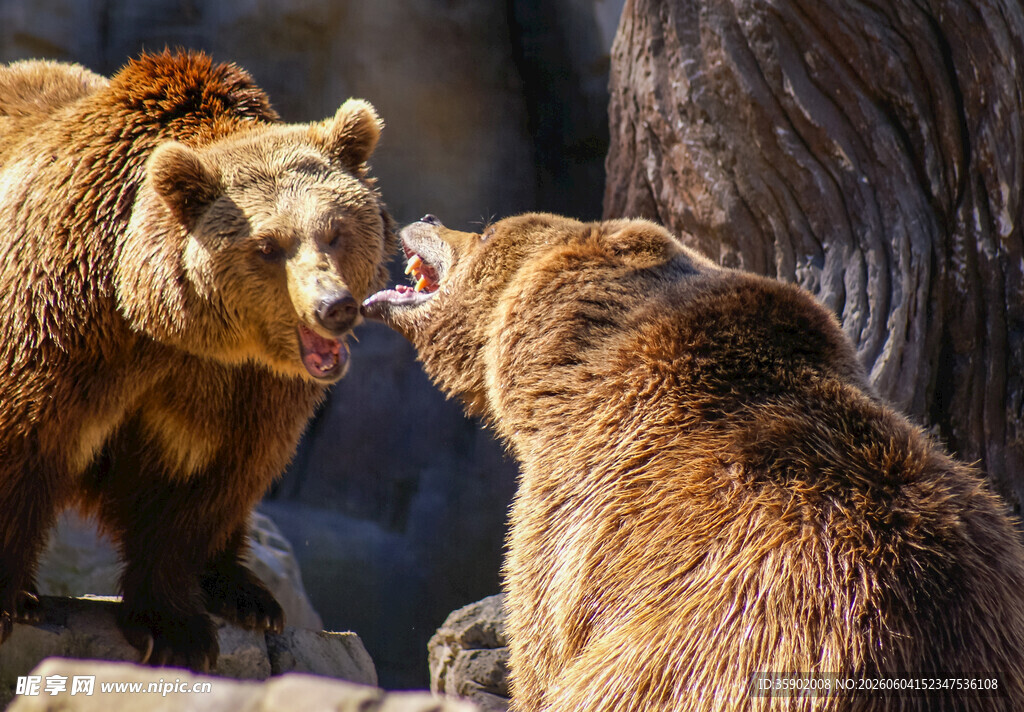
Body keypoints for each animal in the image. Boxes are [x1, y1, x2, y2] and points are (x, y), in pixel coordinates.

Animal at [0, 50, 395, 671]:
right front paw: (10, 600)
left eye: (335, 231)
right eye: (268, 246)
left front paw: (174, 628)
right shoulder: (66, 329)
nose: (334, 306)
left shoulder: (244, 389)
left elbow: (198, 489)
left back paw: (248, 593)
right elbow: (27, 440)